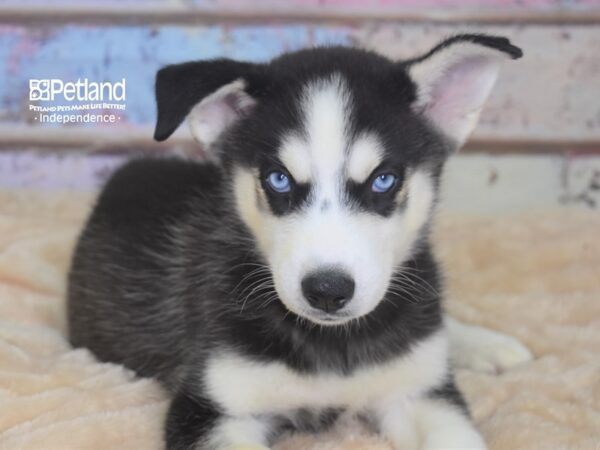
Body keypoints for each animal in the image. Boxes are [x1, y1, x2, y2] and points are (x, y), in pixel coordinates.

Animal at [68, 36, 532, 450]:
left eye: (384, 180)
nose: (328, 290)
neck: (333, 343)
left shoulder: (422, 393)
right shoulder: (210, 405)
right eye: (278, 178)